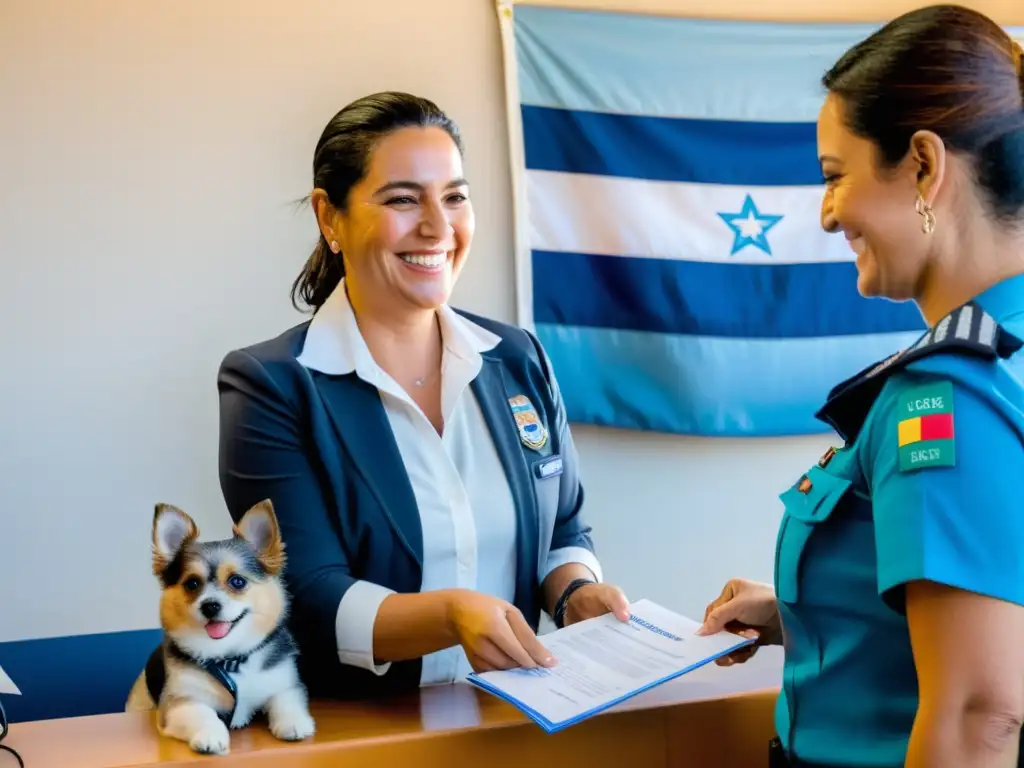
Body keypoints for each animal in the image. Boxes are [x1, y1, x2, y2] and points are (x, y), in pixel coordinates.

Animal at [130, 499, 317, 757]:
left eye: (237, 581)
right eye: (192, 583)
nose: (210, 605)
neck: (229, 660)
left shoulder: (284, 682)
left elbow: (285, 699)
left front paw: (294, 723)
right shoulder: (177, 702)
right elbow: (202, 712)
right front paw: (210, 735)